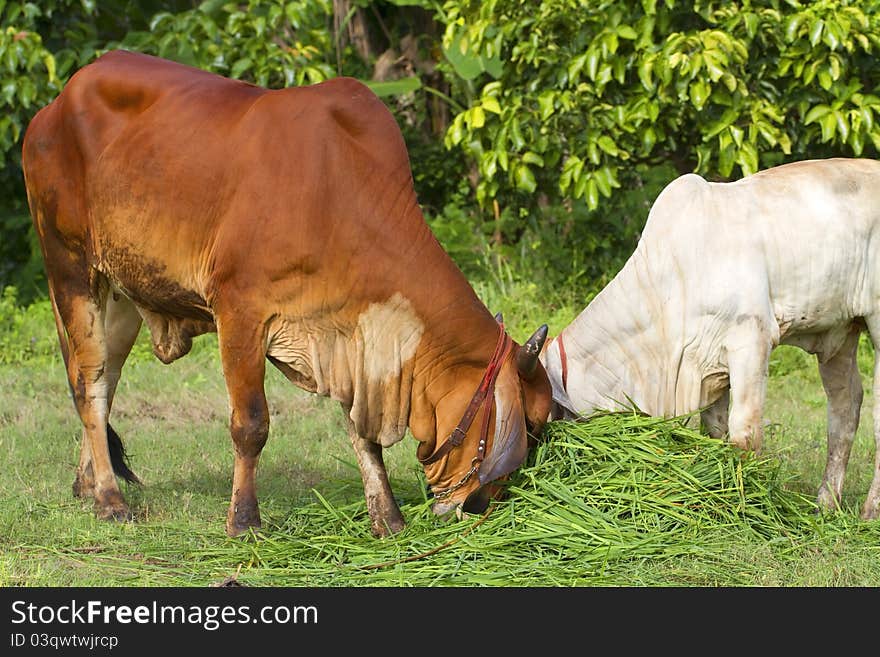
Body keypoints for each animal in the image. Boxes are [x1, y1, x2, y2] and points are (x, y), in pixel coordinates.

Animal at [22, 52, 552, 540]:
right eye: (530, 425)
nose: (481, 507)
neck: (339, 195)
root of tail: (55, 104)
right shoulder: (240, 312)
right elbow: (251, 425)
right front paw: (244, 521)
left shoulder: (347, 337)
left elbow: (363, 436)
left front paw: (387, 519)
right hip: (70, 269)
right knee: (88, 384)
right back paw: (110, 500)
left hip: (120, 294)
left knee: (105, 380)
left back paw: (87, 483)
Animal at [544, 158, 880, 516]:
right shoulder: (708, 362)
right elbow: (715, 430)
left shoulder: (752, 339)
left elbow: (744, 434)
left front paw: (748, 506)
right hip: (841, 333)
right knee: (844, 408)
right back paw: (825, 505)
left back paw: (869, 512)